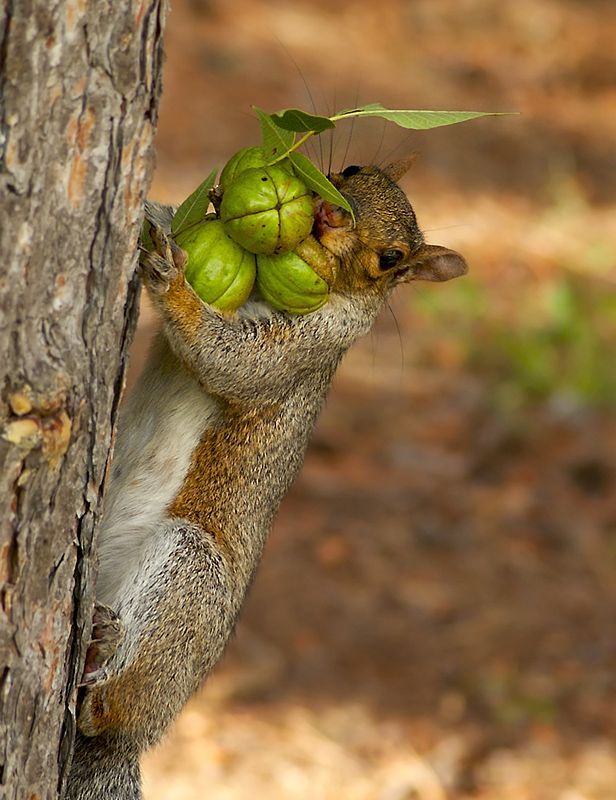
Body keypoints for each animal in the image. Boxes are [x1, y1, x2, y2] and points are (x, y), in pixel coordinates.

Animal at [63, 159, 466, 796]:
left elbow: (230, 358)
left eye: (391, 258)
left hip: (192, 571)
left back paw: (104, 660)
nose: (330, 212)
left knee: (113, 710)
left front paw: (171, 282)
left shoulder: (303, 347)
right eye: (352, 170)